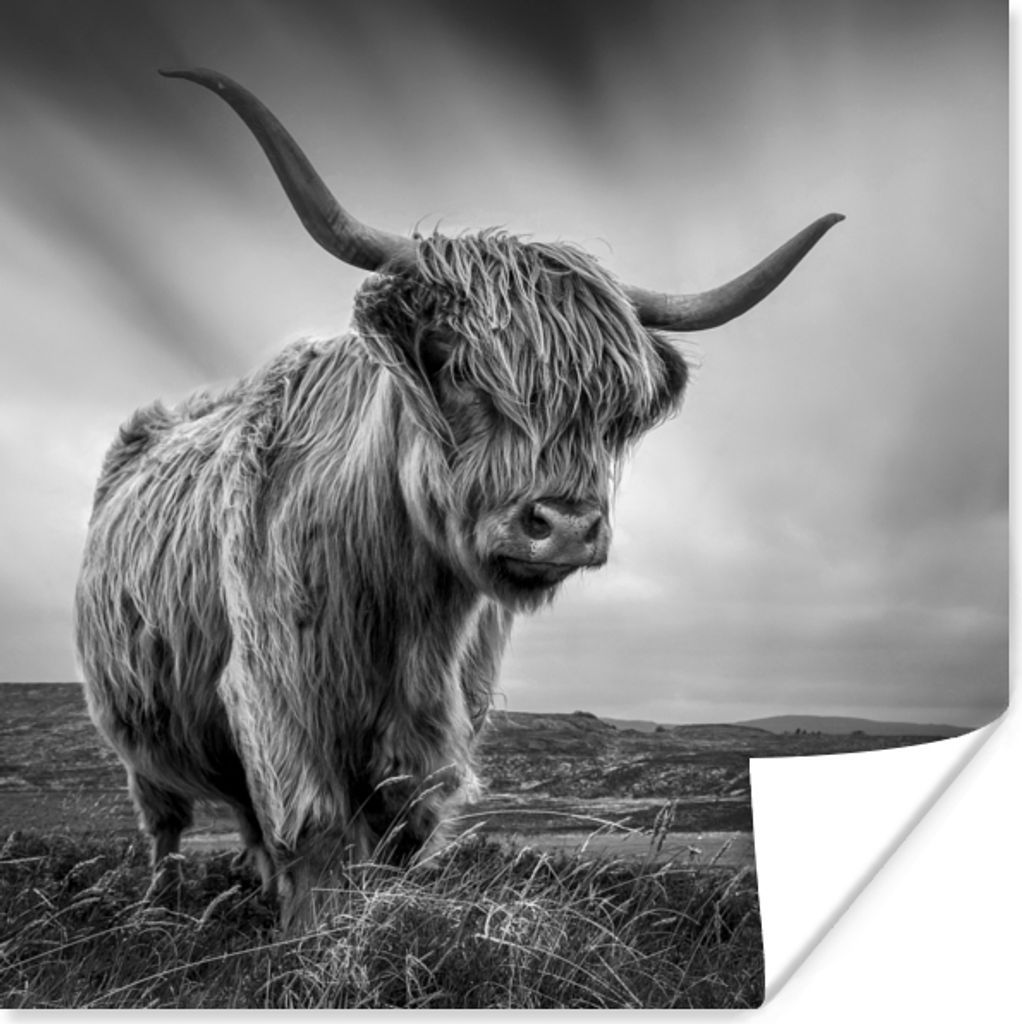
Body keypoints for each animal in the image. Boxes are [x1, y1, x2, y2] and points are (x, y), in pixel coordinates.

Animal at [73, 67, 842, 930]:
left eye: (612, 407)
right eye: (449, 359)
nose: (565, 525)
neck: (407, 608)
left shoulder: (441, 724)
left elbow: (397, 833)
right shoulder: (278, 695)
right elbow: (315, 832)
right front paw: (310, 939)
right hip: (135, 727)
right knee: (165, 820)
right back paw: (159, 904)